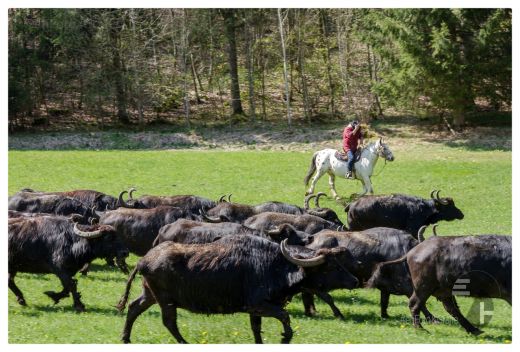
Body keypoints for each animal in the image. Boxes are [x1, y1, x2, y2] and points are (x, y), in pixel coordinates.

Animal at [116, 235, 360, 342]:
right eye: (330, 266)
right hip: (165, 300)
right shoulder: (258, 305)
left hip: (150, 294)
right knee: (169, 322)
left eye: (339, 262)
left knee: (133, 307)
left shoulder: (255, 311)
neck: (273, 265)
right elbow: (285, 317)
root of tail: (144, 260)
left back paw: (126, 338)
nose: (355, 281)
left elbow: (256, 329)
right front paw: (285, 337)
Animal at [302, 227, 440, 320]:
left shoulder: (385, 287)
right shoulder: (405, 285)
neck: (405, 251)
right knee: (321, 294)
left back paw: (310, 311)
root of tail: (312, 239)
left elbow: (384, 301)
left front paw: (385, 315)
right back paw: (336, 313)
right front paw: (432, 318)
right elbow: (419, 301)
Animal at [370, 235, 512, 334]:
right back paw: (420, 329)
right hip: (424, 286)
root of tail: (412, 251)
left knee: (451, 308)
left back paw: (473, 329)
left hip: (444, 290)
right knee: (414, 304)